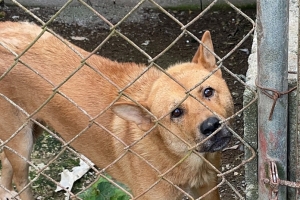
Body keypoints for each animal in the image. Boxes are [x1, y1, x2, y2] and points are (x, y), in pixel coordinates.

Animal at [0, 21, 234, 200]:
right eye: (176, 112)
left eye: (208, 91)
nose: (211, 126)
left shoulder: (209, 189)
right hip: (22, 144)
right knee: (20, 178)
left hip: (33, 128)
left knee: (5, 162)